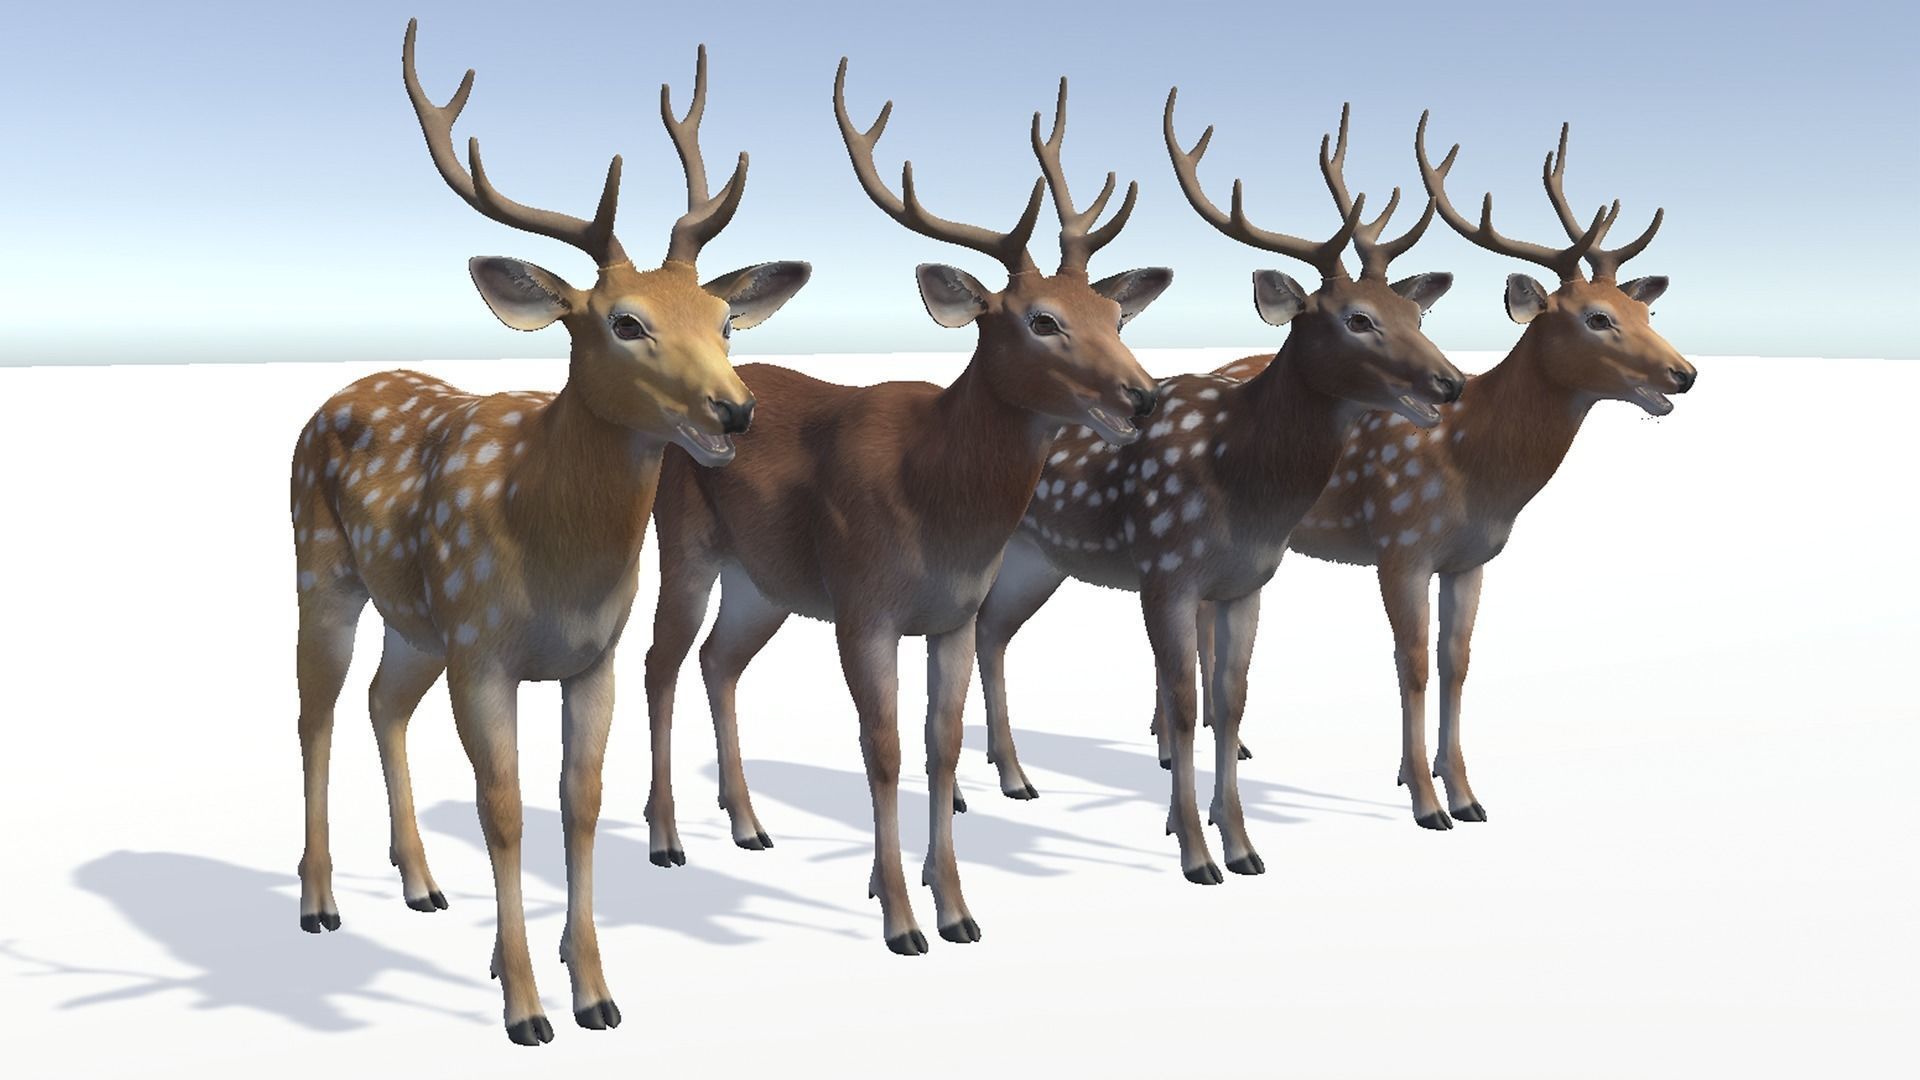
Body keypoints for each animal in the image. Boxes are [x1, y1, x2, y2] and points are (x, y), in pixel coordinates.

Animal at [288, 21, 809, 1045]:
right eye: (624, 322)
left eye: (724, 318)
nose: (737, 412)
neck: (551, 543)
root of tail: (336, 396)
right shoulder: (485, 650)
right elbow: (504, 811)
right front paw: (526, 1006)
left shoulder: (589, 656)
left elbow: (579, 804)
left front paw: (594, 988)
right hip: (323, 571)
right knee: (314, 710)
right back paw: (320, 902)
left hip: (420, 623)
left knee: (381, 701)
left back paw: (420, 885)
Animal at [639, 62, 1172, 955]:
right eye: (1043, 319)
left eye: (1116, 314)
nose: (1144, 397)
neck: (938, 500)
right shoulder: (865, 607)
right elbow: (882, 750)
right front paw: (899, 917)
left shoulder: (953, 614)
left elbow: (942, 748)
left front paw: (956, 906)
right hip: (685, 545)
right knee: (660, 663)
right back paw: (666, 839)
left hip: (766, 583)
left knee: (720, 660)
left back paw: (748, 824)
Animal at [969, 92, 1466, 885]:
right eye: (1358, 318)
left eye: (1415, 313)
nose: (1450, 385)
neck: (1243, 482)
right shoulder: (1167, 571)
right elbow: (1182, 704)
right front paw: (1196, 855)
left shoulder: (1246, 583)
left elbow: (1228, 705)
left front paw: (1241, 846)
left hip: (1038, 558)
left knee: (991, 631)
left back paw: (1013, 776)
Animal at [1189, 112, 1694, 828]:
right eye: (1598, 318)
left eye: (1646, 311)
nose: (1685, 372)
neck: (1474, 468)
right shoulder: (1401, 545)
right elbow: (1413, 664)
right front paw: (1426, 802)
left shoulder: (1471, 558)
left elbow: (1456, 663)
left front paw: (1463, 792)